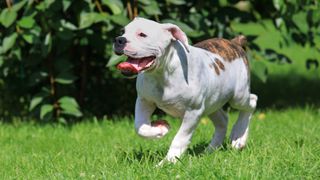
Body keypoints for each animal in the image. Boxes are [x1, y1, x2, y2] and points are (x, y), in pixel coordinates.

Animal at [113, 17, 258, 165]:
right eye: (122, 31)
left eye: (142, 34)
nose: (119, 40)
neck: (161, 73)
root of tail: (234, 43)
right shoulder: (144, 100)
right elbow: (140, 127)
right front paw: (160, 129)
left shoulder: (193, 112)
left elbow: (180, 138)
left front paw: (169, 161)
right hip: (213, 102)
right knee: (223, 120)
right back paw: (210, 150)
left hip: (238, 96)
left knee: (251, 102)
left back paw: (239, 136)